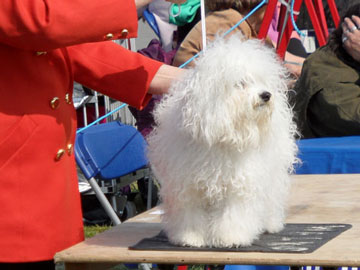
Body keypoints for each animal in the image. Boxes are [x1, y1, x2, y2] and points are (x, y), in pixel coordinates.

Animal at [146, 34, 298, 248]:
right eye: (241, 83)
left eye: (260, 81)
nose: (266, 95)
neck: (224, 136)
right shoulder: (188, 187)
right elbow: (190, 214)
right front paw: (190, 237)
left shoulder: (238, 185)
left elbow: (233, 214)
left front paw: (232, 238)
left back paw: (271, 223)